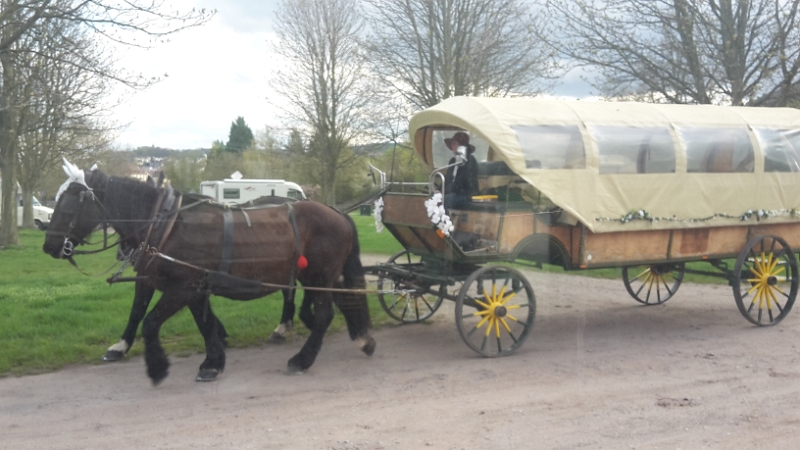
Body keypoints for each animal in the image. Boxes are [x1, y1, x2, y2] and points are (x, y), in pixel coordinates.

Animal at [45, 163, 376, 384]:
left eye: (69, 203)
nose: (49, 245)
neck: (165, 225)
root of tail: (338, 212)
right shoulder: (193, 286)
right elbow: (202, 324)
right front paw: (213, 361)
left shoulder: (183, 286)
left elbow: (149, 321)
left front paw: (158, 367)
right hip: (319, 276)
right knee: (341, 301)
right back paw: (362, 338)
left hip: (319, 275)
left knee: (323, 315)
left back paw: (302, 359)